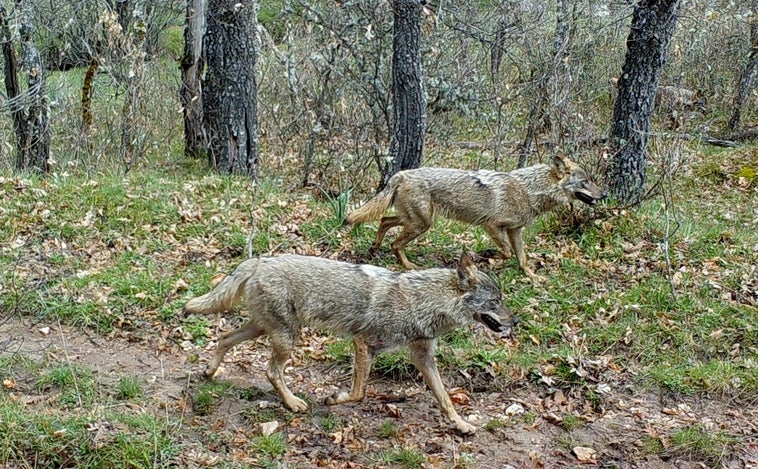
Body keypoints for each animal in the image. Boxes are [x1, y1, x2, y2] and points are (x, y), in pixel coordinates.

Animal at [184, 254, 520, 434]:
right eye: (496, 302)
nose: (516, 321)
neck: (422, 302)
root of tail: (260, 260)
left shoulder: (423, 357)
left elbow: (445, 398)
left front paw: (460, 424)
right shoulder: (363, 344)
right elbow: (359, 393)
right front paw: (333, 399)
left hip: (265, 329)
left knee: (225, 338)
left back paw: (210, 372)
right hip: (286, 337)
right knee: (271, 371)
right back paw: (293, 403)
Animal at [344, 154, 604, 278]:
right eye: (585, 182)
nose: (605, 193)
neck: (529, 190)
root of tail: (400, 174)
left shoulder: (515, 230)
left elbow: (521, 257)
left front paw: (531, 276)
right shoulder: (492, 226)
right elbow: (506, 252)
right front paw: (486, 256)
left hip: (416, 221)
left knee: (384, 221)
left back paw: (374, 248)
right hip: (421, 224)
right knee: (395, 243)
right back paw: (407, 265)